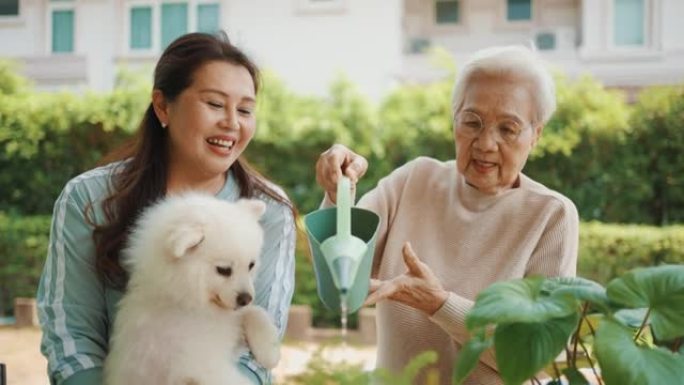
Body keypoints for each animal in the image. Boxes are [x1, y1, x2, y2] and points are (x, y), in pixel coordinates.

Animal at [103, 192, 280, 384]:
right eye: (224, 270)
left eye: (251, 265)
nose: (245, 299)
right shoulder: (198, 363)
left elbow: (255, 312)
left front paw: (269, 352)